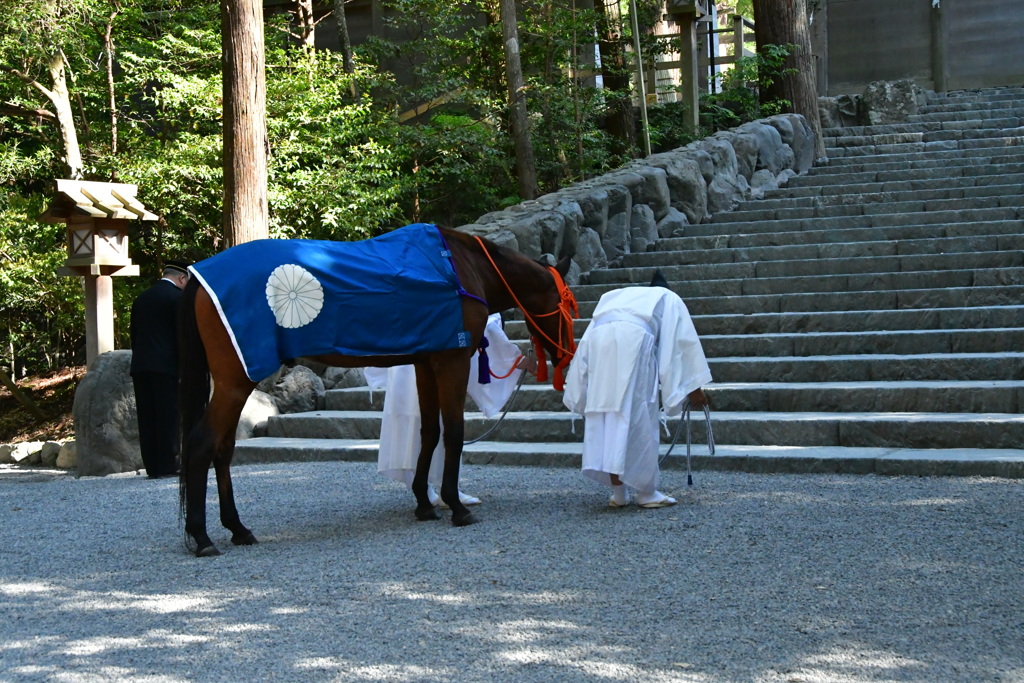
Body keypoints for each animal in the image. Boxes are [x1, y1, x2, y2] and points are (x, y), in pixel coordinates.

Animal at [180, 227, 581, 557]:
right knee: (202, 444)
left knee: (223, 450)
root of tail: (199, 276)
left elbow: (429, 431)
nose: (566, 355)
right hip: (235, 383)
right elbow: (453, 431)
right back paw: (202, 537)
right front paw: (456, 505)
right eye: (565, 303)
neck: (460, 268)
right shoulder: (451, 361)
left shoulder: (425, 363)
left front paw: (424, 502)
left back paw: (237, 528)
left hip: (235, 384)